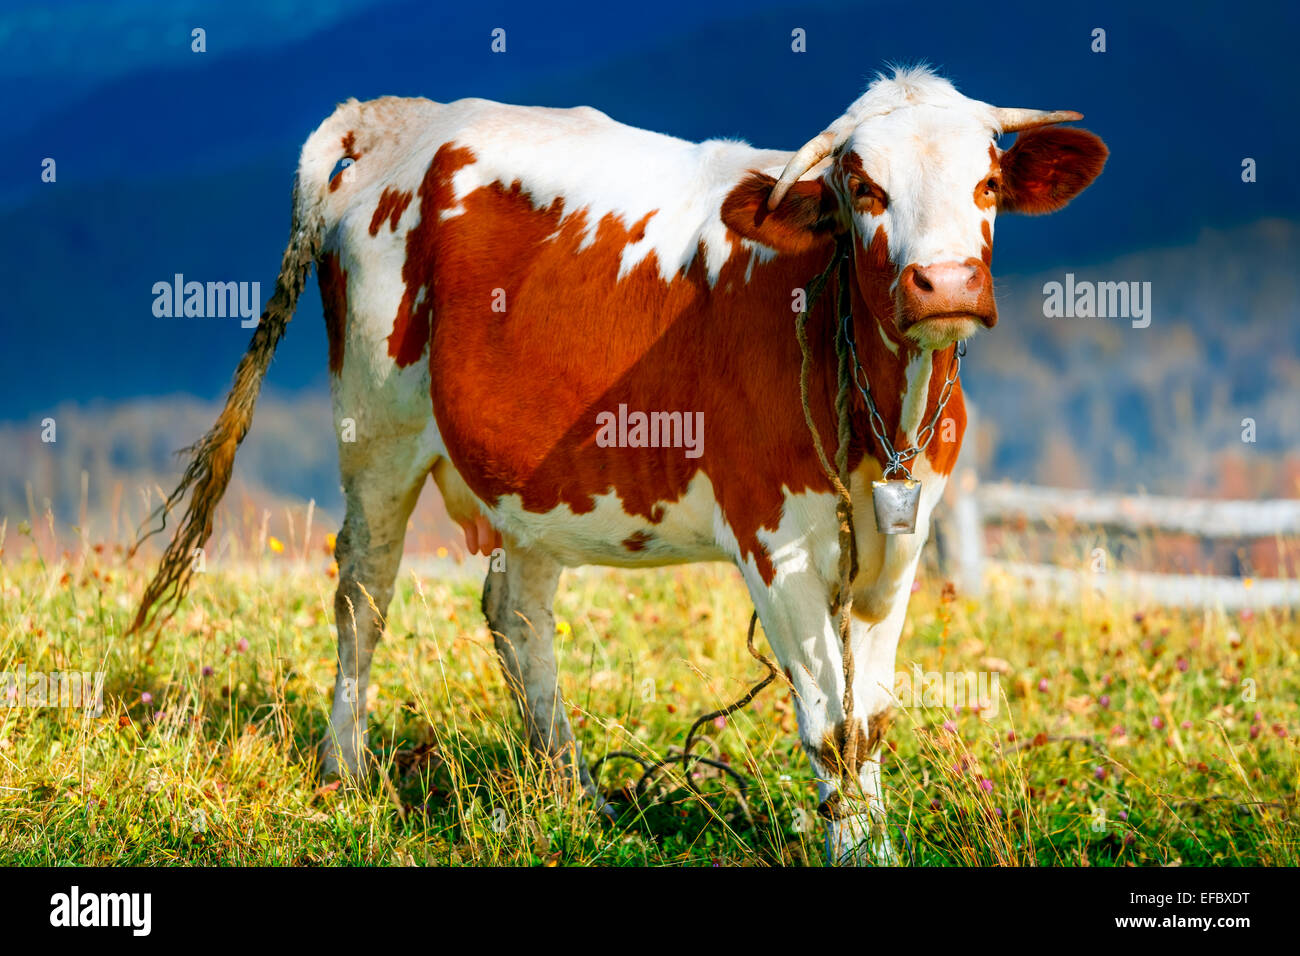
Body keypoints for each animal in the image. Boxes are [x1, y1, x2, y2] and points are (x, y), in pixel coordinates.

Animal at [130, 66, 1106, 863]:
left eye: (987, 183)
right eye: (865, 188)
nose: (944, 285)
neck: (877, 417)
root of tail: (393, 114)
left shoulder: (900, 538)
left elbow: (867, 720)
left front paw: (873, 844)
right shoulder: (774, 538)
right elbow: (829, 724)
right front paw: (854, 851)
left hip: (525, 477)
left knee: (516, 613)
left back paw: (577, 797)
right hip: (377, 429)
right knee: (362, 593)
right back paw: (345, 773)